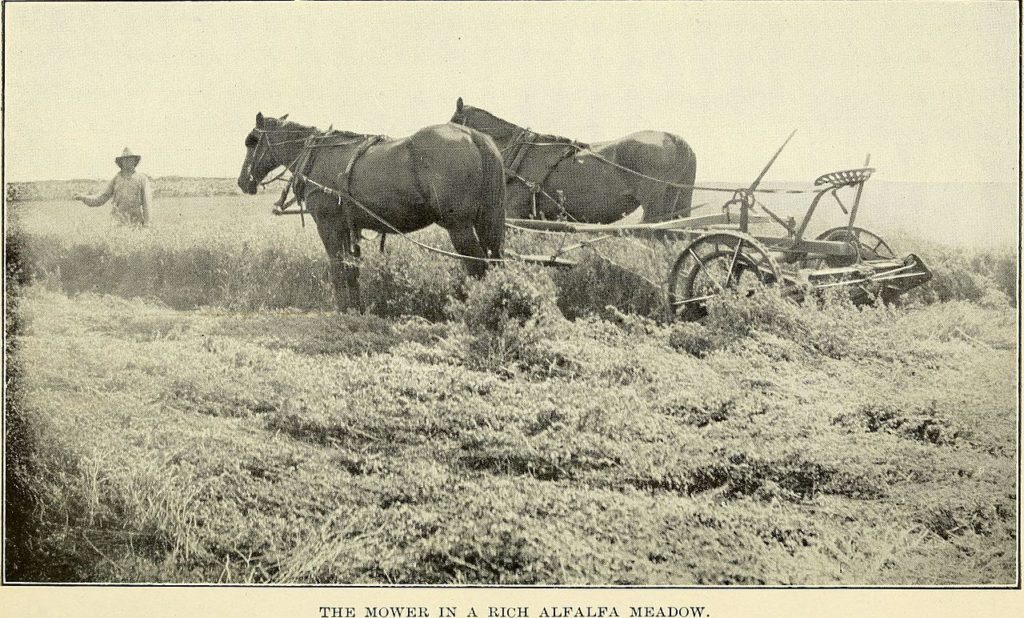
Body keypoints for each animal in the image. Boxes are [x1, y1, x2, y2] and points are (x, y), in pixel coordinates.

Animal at [240, 112, 512, 309]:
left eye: (251, 142)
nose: (243, 181)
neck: (317, 155)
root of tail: (474, 136)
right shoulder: (351, 225)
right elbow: (352, 269)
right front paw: (356, 309)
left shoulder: (329, 224)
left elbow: (338, 268)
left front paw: (342, 311)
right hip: (488, 220)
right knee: (495, 260)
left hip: (460, 226)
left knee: (477, 266)